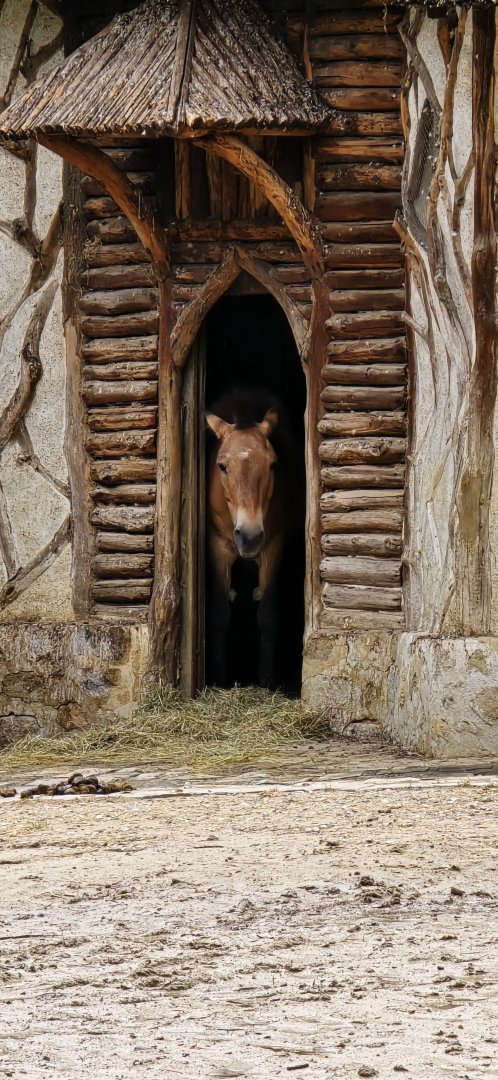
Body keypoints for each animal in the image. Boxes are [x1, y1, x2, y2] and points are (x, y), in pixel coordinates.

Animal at [205, 389, 297, 689]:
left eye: (272, 464)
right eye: (222, 466)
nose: (249, 536)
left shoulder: (272, 546)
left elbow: (267, 612)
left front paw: (267, 680)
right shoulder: (219, 545)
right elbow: (220, 612)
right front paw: (219, 677)